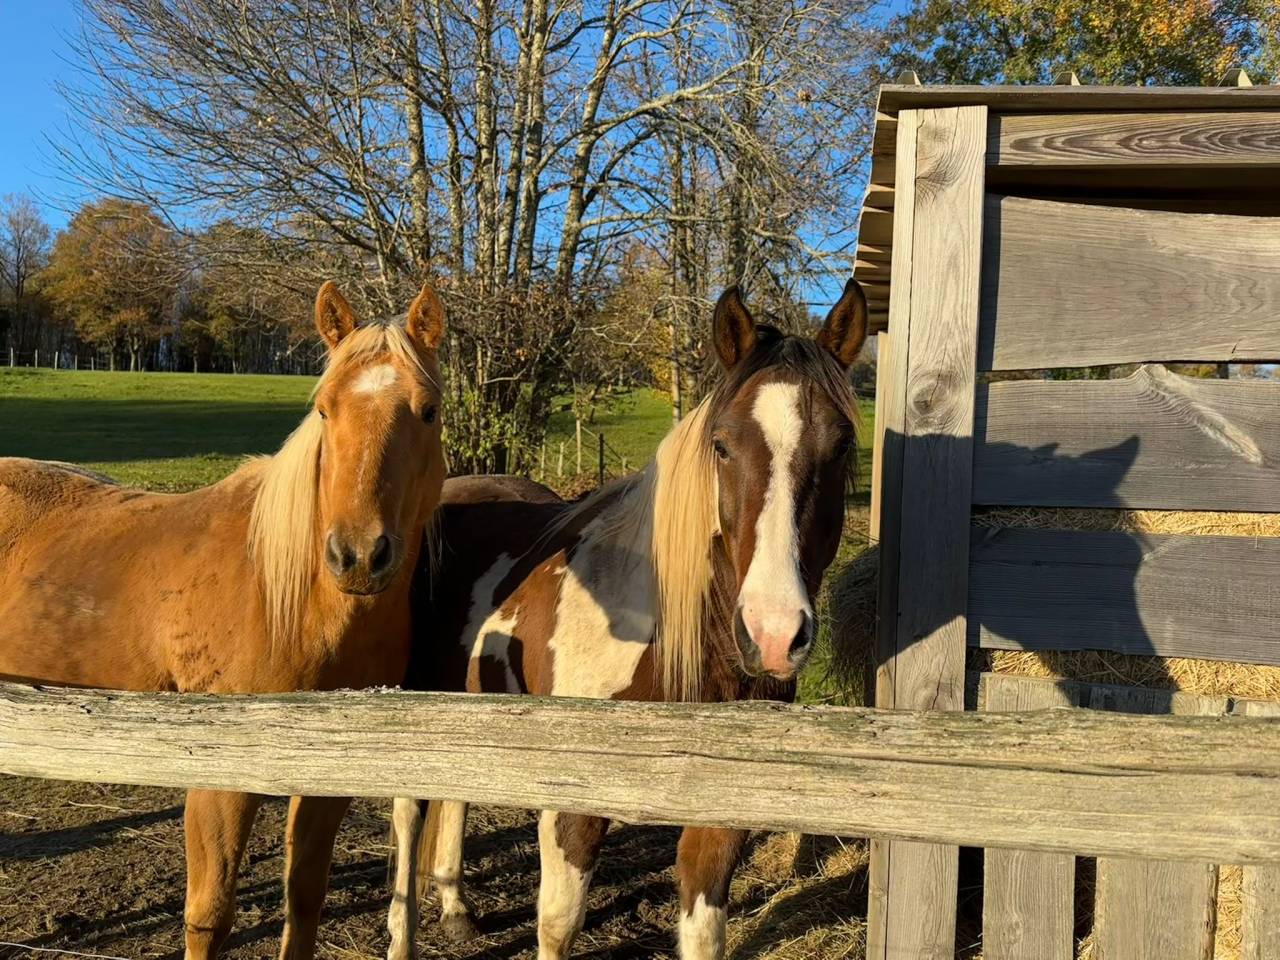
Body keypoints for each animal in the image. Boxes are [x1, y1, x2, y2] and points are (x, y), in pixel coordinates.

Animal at [0, 280, 447, 960]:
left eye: (428, 411)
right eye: (324, 410)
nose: (357, 556)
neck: (288, 601)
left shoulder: (329, 780)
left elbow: (304, 897)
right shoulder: (219, 780)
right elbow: (209, 916)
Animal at [385, 279, 868, 960]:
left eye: (842, 444)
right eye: (721, 445)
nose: (773, 635)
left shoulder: (722, 809)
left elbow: (703, 934)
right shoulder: (574, 802)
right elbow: (558, 924)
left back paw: (455, 907)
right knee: (408, 817)